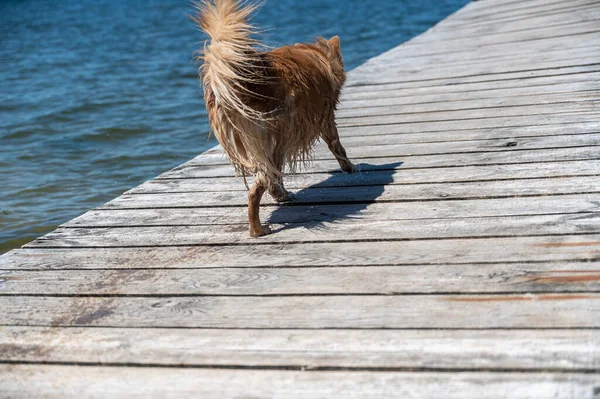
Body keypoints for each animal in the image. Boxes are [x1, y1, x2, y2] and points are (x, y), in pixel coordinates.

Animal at [192, 0, 354, 238]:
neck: (318, 55)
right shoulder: (326, 119)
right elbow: (338, 147)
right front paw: (350, 168)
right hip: (276, 142)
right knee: (258, 188)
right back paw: (258, 229)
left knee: (267, 182)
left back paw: (277, 201)